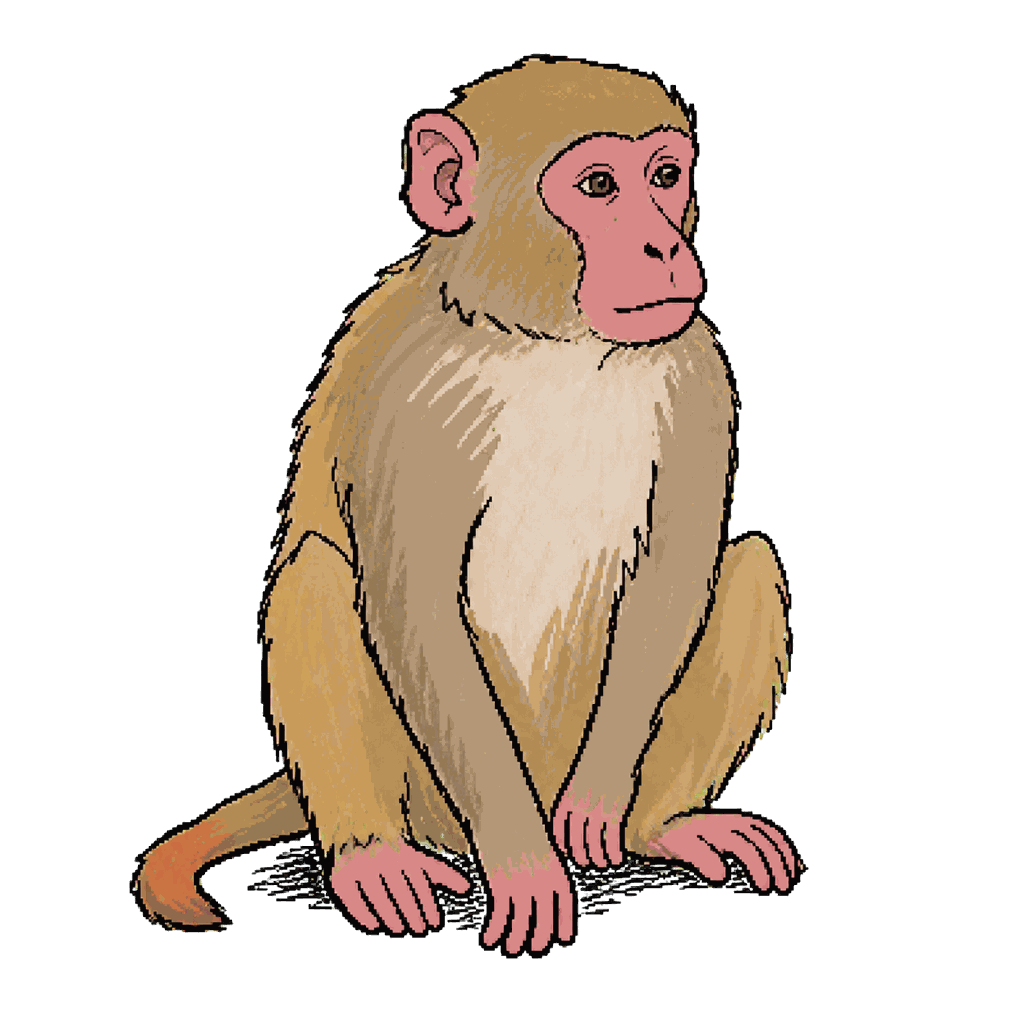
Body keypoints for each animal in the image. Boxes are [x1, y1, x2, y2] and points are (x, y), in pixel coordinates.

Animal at [135, 58, 799, 953]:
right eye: (598, 186)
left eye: (664, 178)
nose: (665, 245)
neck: (554, 344)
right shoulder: (407, 393)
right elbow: (417, 611)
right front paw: (520, 861)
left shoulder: (695, 363)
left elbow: (675, 575)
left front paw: (600, 800)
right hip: (431, 800)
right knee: (318, 568)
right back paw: (373, 853)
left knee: (752, 560)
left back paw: (658, 825)